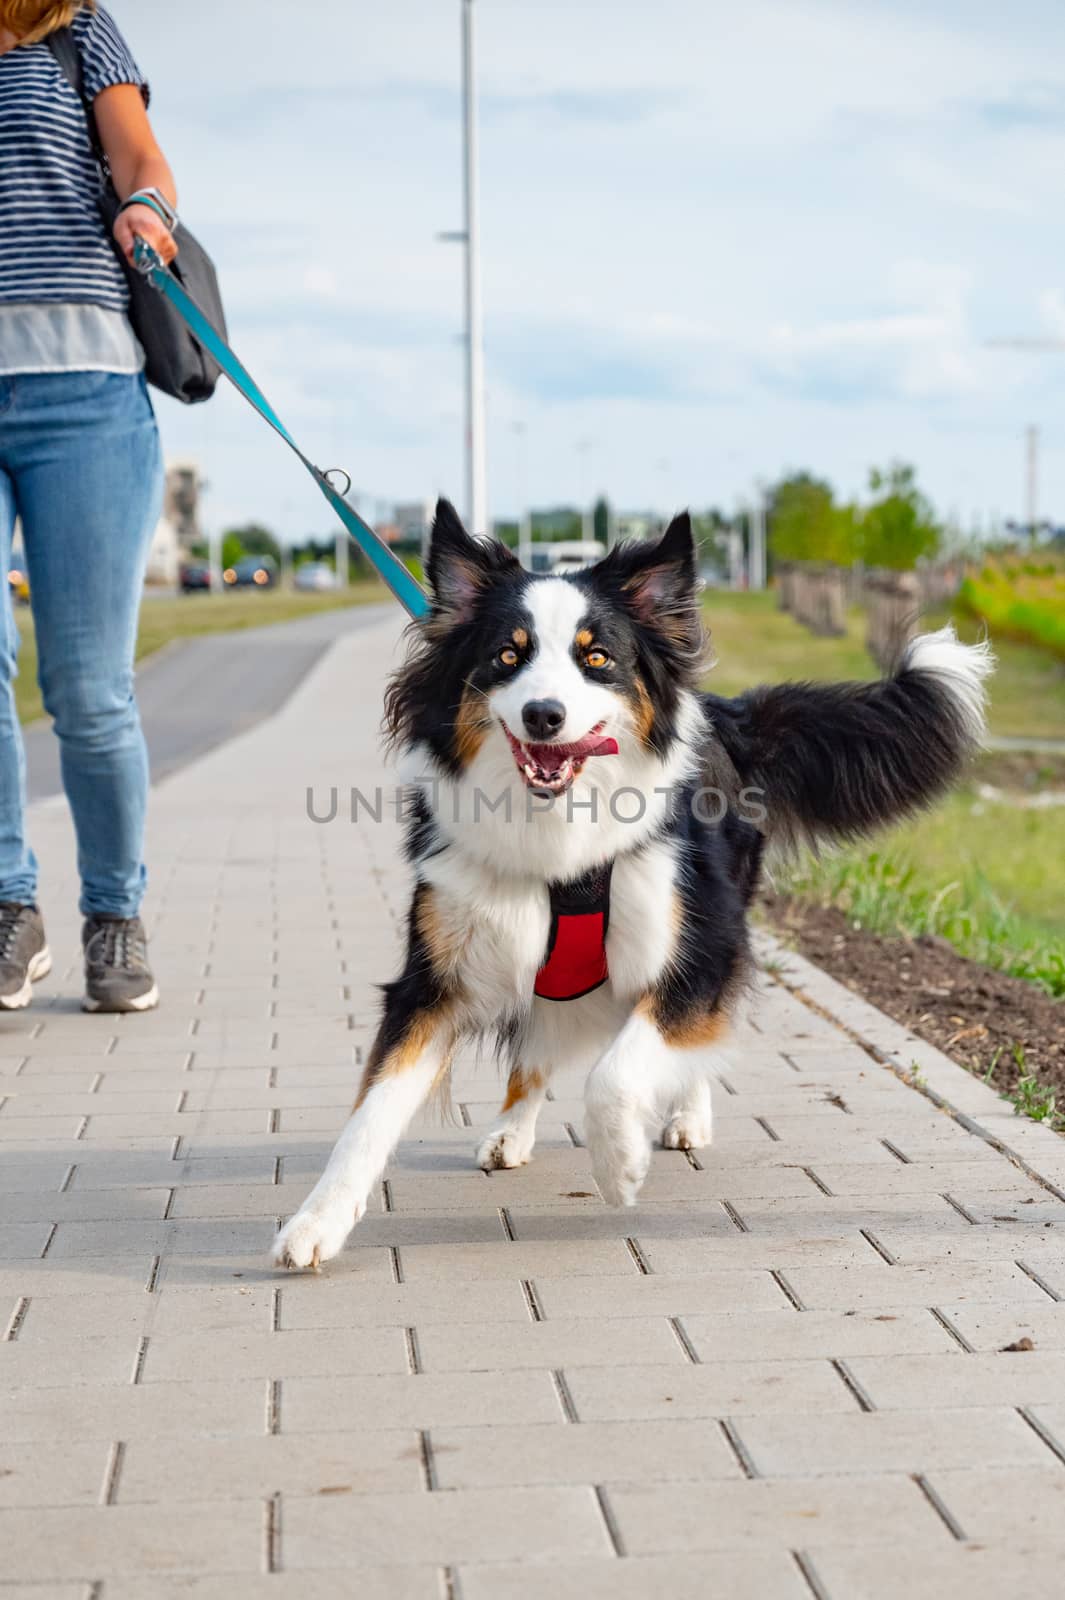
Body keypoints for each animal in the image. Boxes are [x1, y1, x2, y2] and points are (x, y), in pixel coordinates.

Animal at [271, 492, 985, 1267]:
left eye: (596, 658)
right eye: (506, 656)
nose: (543, 715)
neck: (558, 830)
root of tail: (730, 714)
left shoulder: (696, 949)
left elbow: (617, 1072)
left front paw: (618, 1166)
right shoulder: (433, 978)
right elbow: (369, 1115)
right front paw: (315, 1222)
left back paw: (683, 1119)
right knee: (538, 1045)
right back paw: (512, 1129)